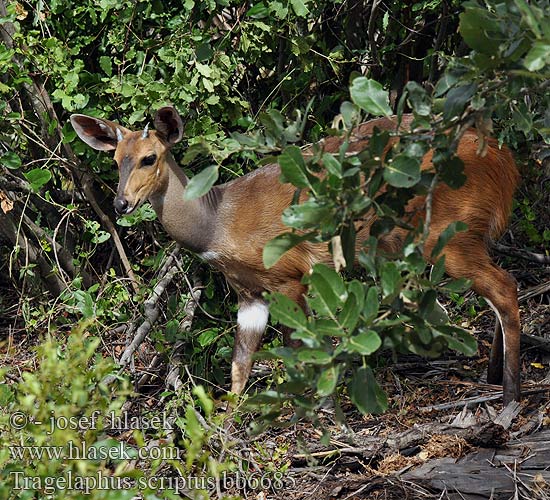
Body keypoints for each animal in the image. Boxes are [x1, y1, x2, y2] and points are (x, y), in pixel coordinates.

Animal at [71, 107, 524, 404]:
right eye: (116, 159)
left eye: (150, 158)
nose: (121, 204)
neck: (218, 222)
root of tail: (503, 159)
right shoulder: (249, 293)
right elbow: (239, 363)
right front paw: (227, 426)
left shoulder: (290, 277)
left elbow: (298, 351)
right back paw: (492, 377)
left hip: (448, 234)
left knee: (505, 286)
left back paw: (510, 396)